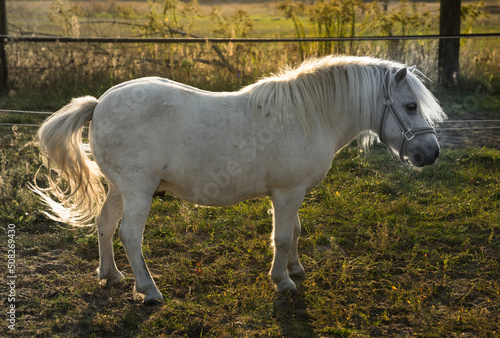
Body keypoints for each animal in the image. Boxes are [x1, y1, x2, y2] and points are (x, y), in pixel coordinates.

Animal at [31, 55, 446, 304]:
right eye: (410, 106)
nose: (431, 153)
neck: (310, 116)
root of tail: (100, 103)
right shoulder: (287, 192)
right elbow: (282, 236)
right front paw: (282, 280)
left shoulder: (290, 192)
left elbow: (295, 231)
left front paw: (296, 268)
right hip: (138, 191)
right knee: (130, 235)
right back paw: (149, 291)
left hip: (119, 189)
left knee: (104, 225)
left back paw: (110, 275)